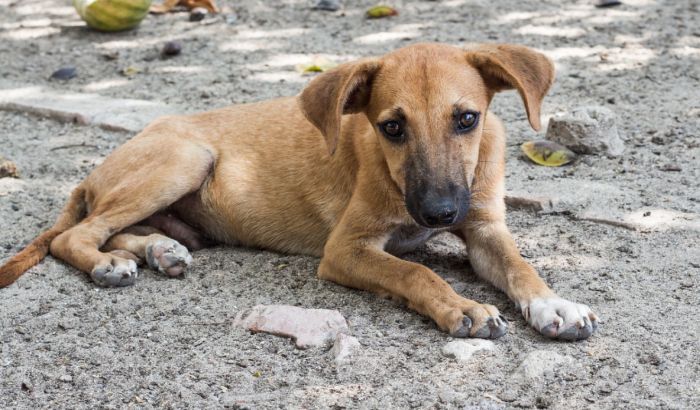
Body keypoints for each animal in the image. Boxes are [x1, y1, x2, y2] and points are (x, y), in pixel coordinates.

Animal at [1, 43, 600, 342]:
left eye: (467, 119)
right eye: (392, 128)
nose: (439, 213)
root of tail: (90, 174)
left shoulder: (484, 229)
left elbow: (521, 267)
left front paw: (554, 304)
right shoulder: (346, 249)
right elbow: (415, 271)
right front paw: (463, 308)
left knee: (122, 230)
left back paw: (159, 250)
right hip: (185, 158)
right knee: (76, 236)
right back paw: (109, 264)